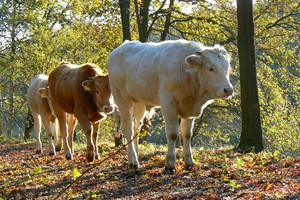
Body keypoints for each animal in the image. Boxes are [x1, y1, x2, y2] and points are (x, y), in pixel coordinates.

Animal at [108, 39, 234, 173]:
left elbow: (187, 134)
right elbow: (173, 134)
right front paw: (170, 164)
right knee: (128, 128)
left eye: (228, 68)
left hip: (139, 101)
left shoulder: (190, 109)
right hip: (121, 97)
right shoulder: (168, 104)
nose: (228, 90)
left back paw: (136, 155)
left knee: (136, 127)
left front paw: (189, 162)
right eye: (210, 68)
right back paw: (133, 161)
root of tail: (122, 46)